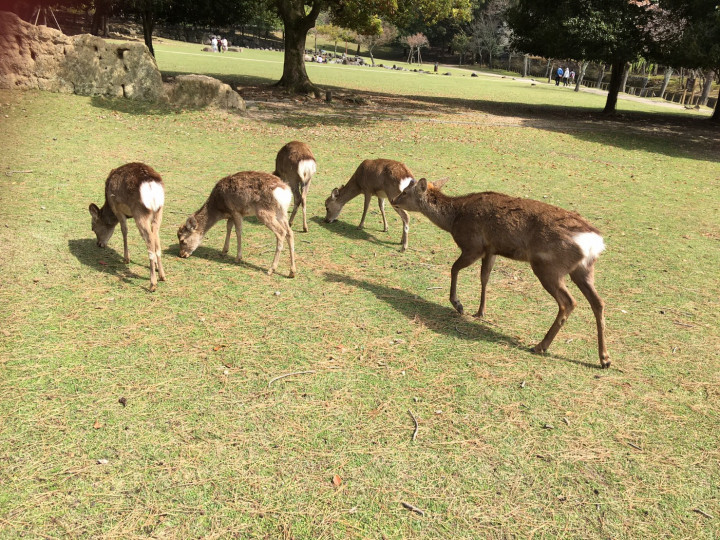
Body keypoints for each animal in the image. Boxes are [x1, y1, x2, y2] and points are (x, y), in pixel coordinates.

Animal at [89, 162, 167, 294]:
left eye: (93, 228)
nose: (99, 244)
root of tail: (151, 184)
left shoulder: (118, 209)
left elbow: (124, 230)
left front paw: (126, 259)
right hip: (158, 212)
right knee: (156, 238)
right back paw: (162, 276)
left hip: (140, 212)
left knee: (150, 240)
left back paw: (152, 284)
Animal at [390, 179, 612, 370]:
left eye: (405, 192)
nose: (393, 200)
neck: (454, 219)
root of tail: (594, 242)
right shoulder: (491, 249)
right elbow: (484, 277)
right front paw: (480, 312)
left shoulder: (473, 245)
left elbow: (454, 268)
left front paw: (458, 304)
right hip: (583, 269)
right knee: (598, 302)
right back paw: (605, 359)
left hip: (548, 266)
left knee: (569, 302)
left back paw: (540, 346)